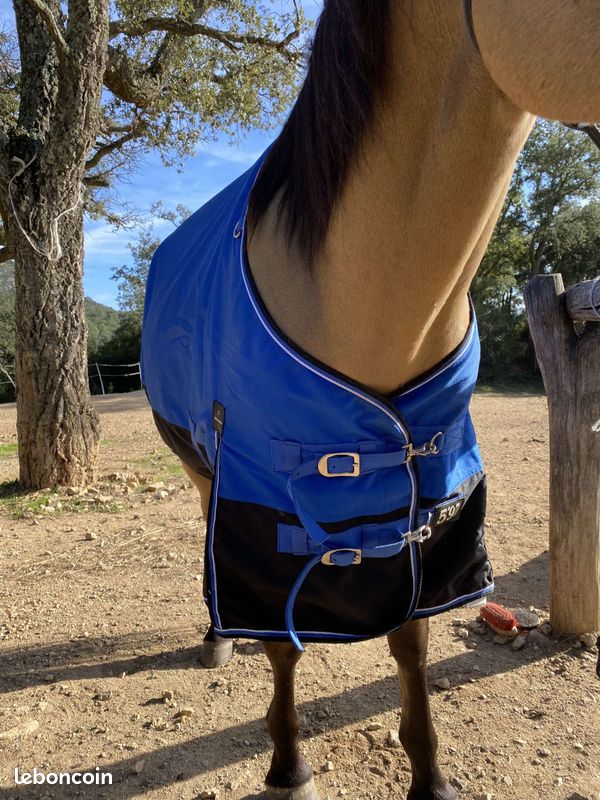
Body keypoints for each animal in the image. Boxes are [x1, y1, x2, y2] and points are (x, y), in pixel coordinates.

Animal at [140, 2, 600, 798]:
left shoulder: (426, 508)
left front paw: (431, 776)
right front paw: (288, 765)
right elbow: (284, 646)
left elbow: (411, 638)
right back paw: (217, 637)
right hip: (204, 469)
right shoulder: (269, 515)